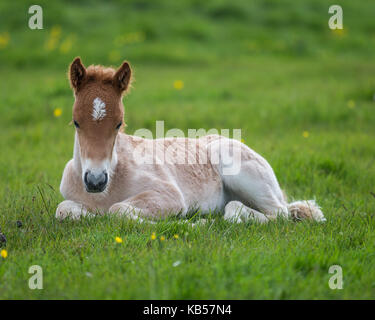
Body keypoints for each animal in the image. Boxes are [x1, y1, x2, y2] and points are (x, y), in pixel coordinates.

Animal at [55, 57, 326, 222]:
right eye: (76, 122)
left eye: (119, 124)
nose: (96, 180)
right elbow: (64, 210)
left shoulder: (170, 196)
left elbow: (117, 210)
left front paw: (191, 223)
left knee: (278, 214)